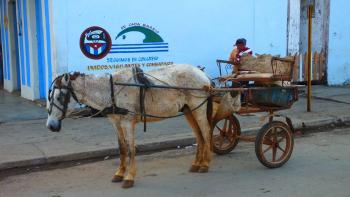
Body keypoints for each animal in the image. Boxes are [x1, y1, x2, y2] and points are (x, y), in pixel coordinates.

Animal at [46, 63, 241, 189]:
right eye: (49, 96)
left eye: (59, 97)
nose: (51, 126)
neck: (110, 90)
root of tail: (203, 75)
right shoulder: (116, 122)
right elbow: (121, 149)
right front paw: (119, 173)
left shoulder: (127, 122)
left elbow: (131, 149)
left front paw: (129, 177)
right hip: (188, 111)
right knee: (199, 135)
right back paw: (196, 164)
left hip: (197, 109)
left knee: (206, 132)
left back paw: (205, 164)